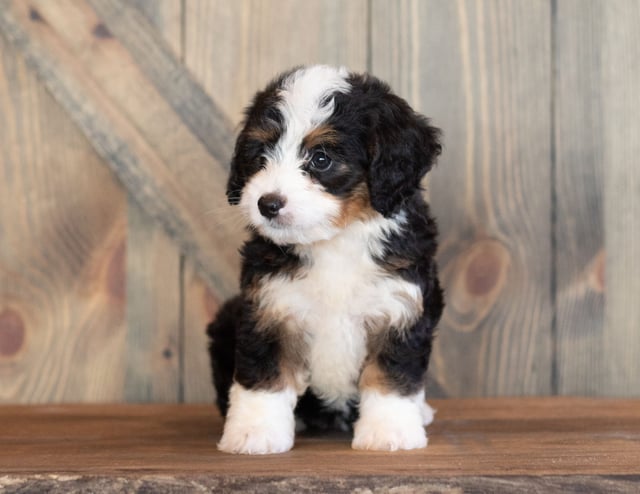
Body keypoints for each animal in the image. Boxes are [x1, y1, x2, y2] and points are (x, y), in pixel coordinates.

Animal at [208, 65, 442, 456]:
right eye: (261, 154)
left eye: (321, 158)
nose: (267, 203)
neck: (335, 239)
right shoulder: (269, 305)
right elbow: (264, 374)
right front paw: (254, 432)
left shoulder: (400, 304)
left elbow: (391, 372)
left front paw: (388, 432)